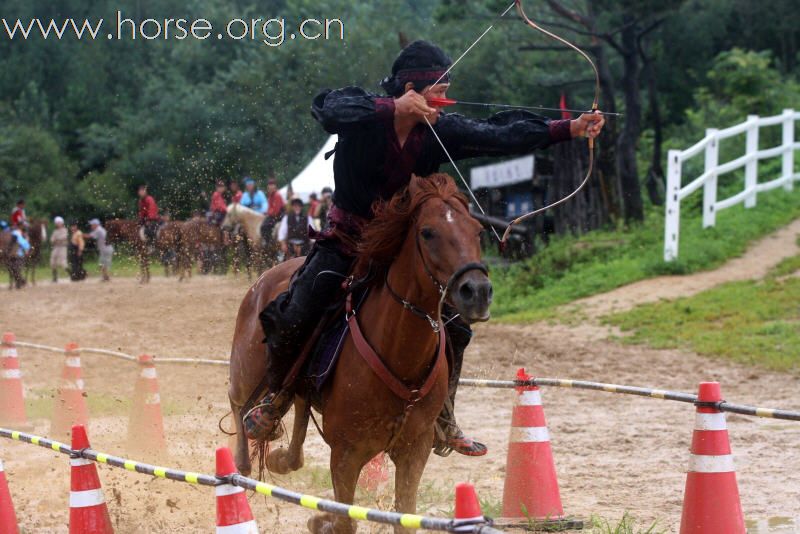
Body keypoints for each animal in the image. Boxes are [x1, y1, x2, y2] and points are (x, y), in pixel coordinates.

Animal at [225, 174, 494, 532]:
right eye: (427, 232)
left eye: (477, 231)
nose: (477, 291)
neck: (399, 355)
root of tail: (267, 277)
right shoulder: (346, 455)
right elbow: (345, 521)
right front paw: (324, 520)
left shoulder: (414, 451)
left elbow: (403, 516)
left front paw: (320, 519)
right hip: (246, 368)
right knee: (238, 401)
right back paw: (242, 457)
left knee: (296, 411)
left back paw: (280, 457)